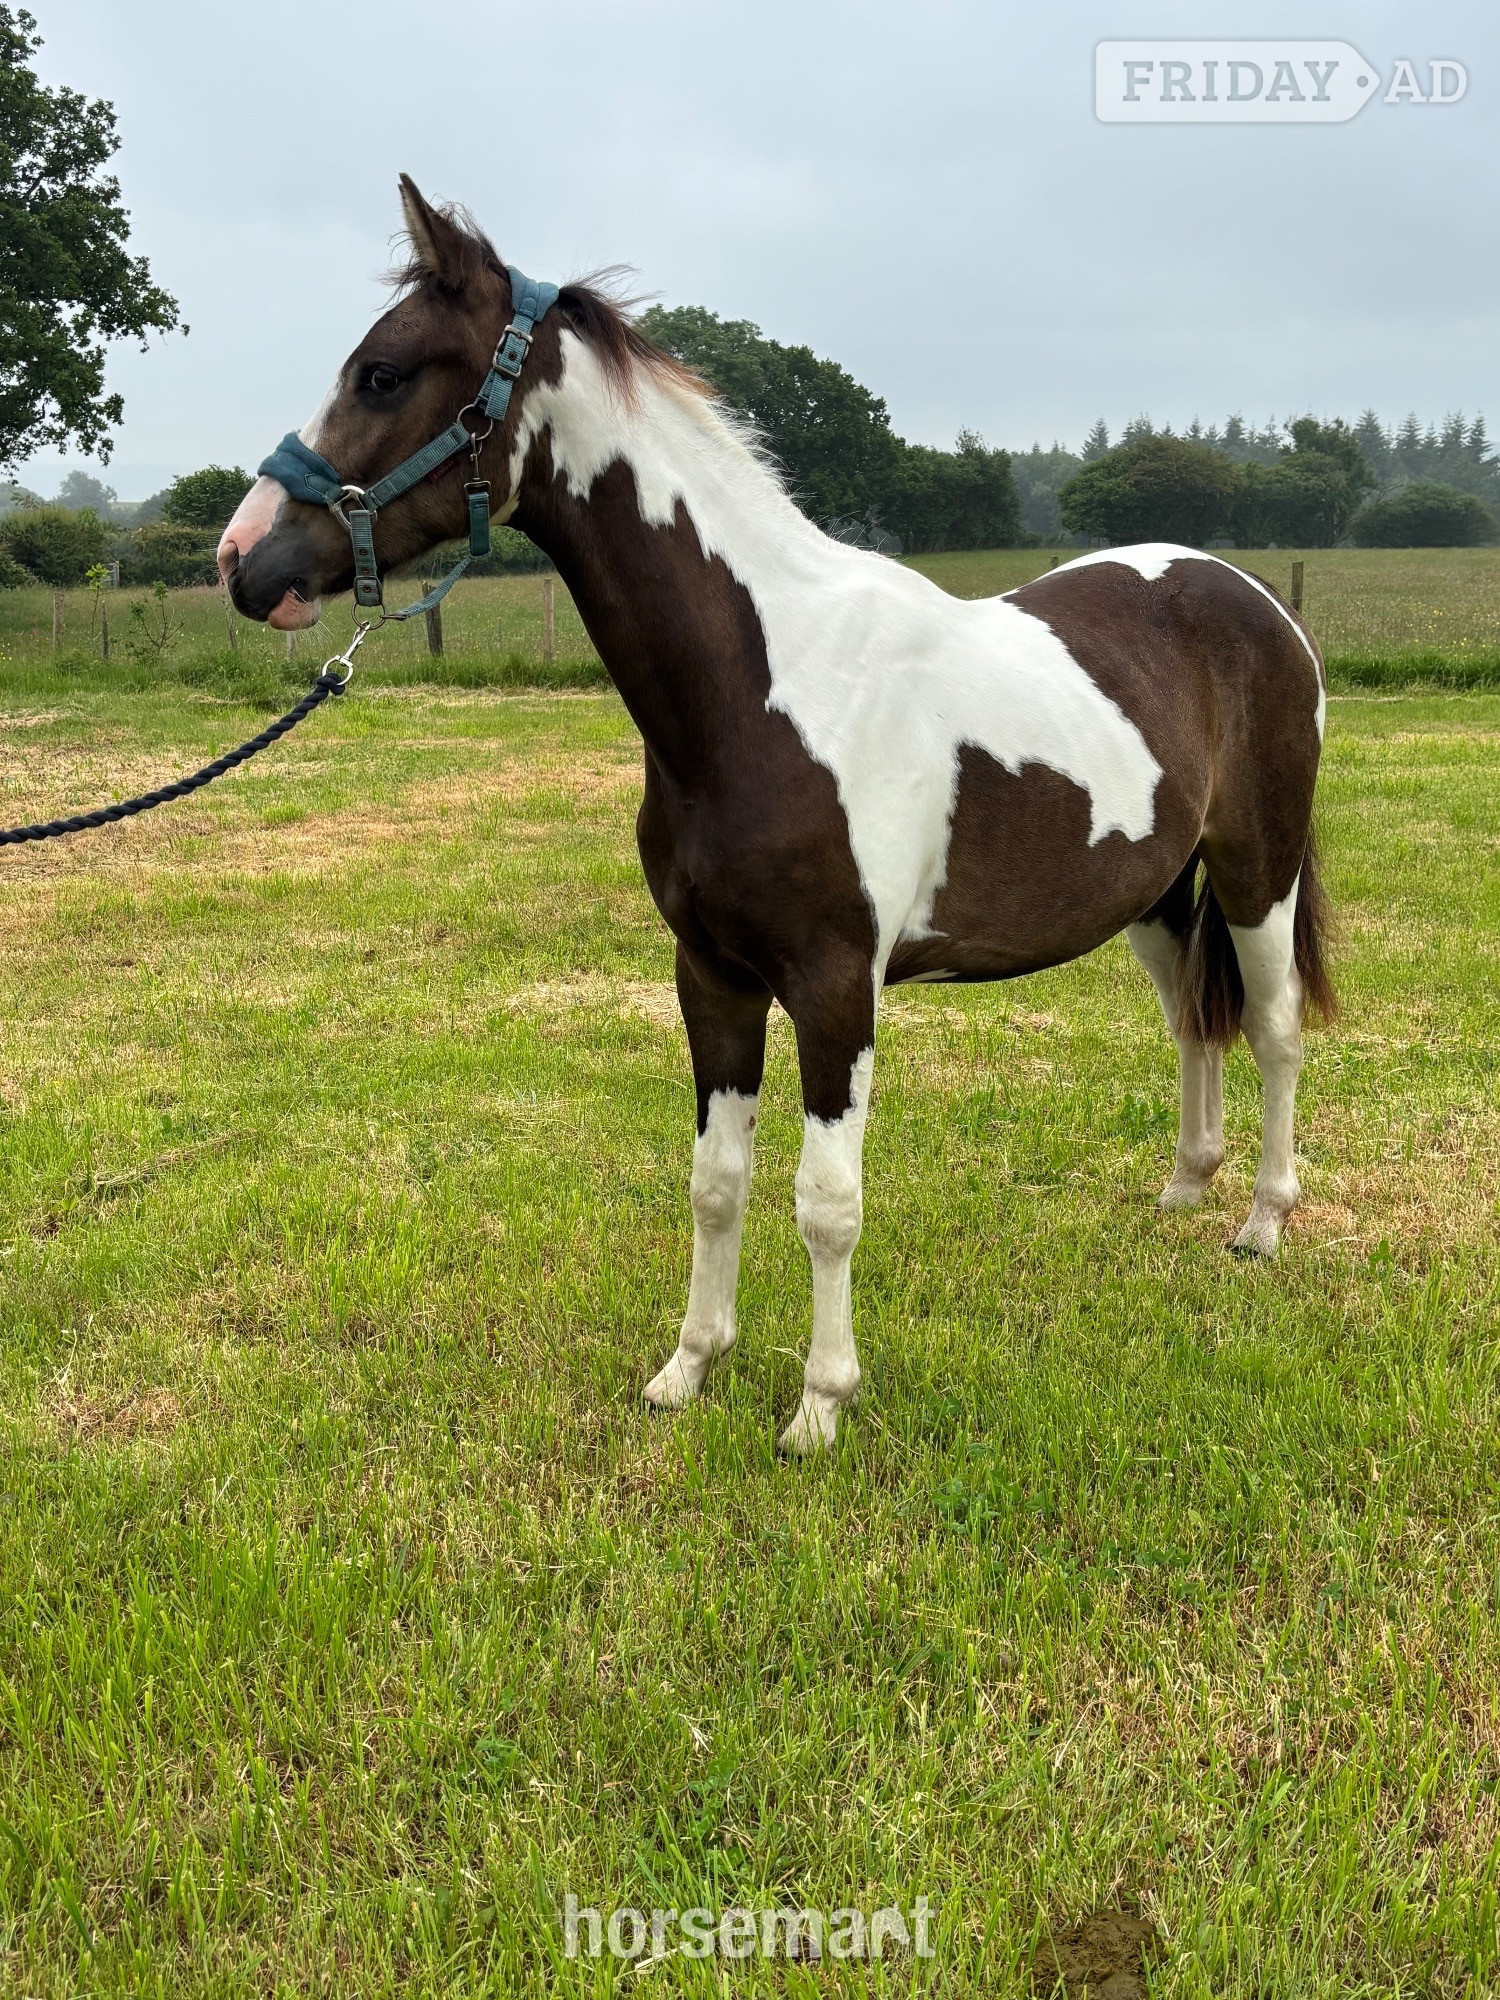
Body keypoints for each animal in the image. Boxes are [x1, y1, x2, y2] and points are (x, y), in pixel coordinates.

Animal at [219, 177, 1334, 1454]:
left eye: (384, 373)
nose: (242, 559)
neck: (763, 685)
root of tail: (1252, 599)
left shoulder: (835, 985)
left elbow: (827, 1200)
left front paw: (819, 1403)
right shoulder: (711, 974)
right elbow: (717, 1181)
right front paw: (689, 1366)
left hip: (1255, 869)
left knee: (1273, 1027)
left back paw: (1261, 1221)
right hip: (1153, 894)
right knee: (1195, 1020)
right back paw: (1186, 1185)